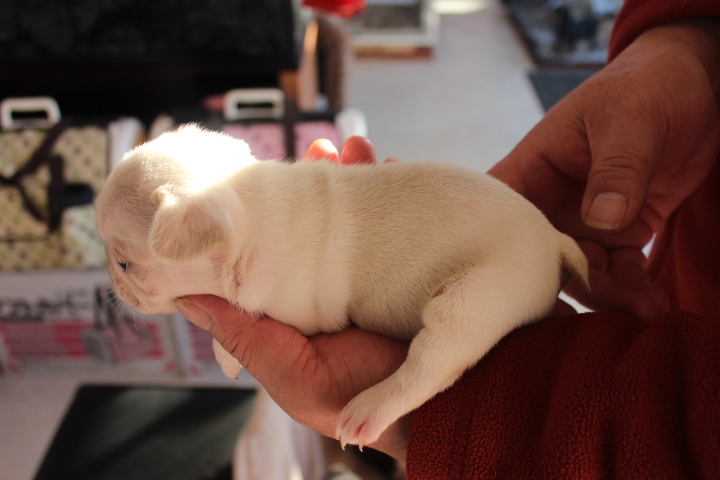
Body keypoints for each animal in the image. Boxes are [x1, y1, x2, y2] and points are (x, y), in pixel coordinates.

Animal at [95, 125, 589, 448]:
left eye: (124, 263)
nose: (112, 284)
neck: (254, 211)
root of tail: (554, 240)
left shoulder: (294, 313)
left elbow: (226, 332)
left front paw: (224, 356)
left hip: (475, 299)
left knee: (431, 368)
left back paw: (368, 412)